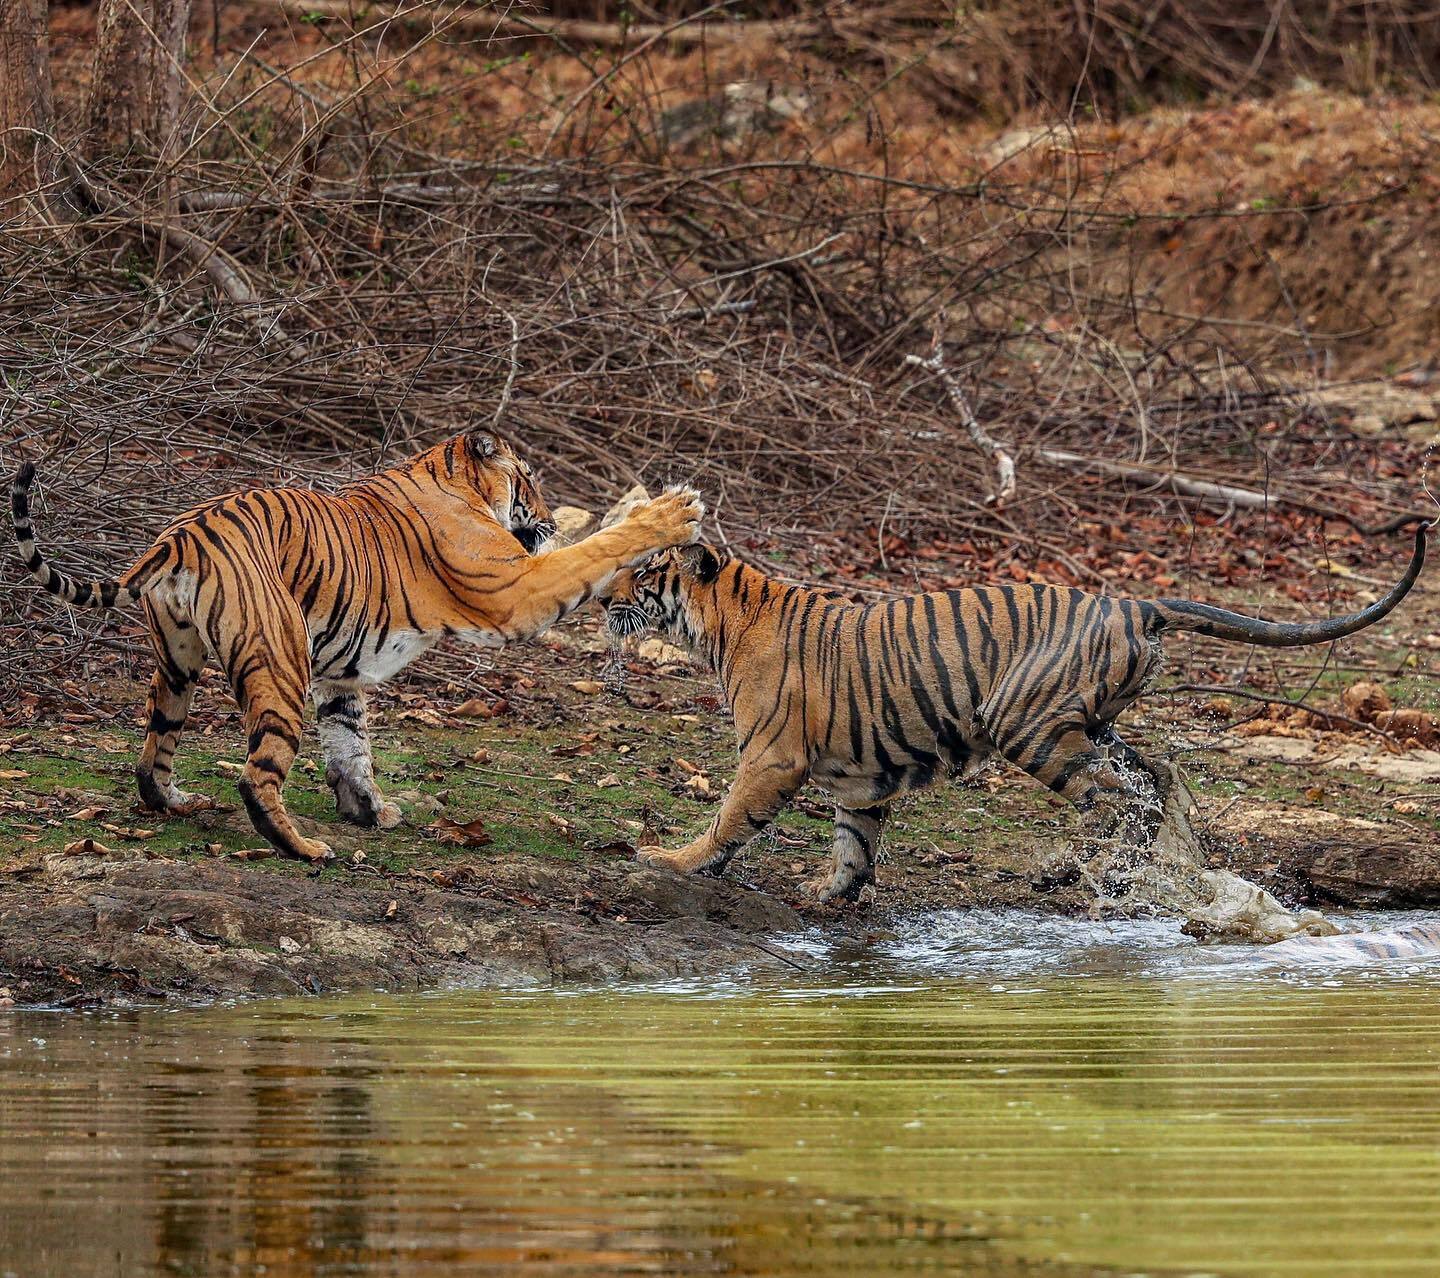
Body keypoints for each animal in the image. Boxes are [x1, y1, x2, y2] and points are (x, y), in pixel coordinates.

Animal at [9, 434, 708, 863]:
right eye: (528, 479)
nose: (549, 517)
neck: (453, 476)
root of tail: (177, 537)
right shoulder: (518, 587)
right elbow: (596, 549)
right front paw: (672, 513)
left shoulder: (339, 672)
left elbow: (350, 745)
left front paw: (370, 810)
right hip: (278, 658)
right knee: (256, 775)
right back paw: (302, 849)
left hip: (178, 665)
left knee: (153, 751)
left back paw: (177, 801)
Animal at [599, 529, 1428, 909]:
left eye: (645, 573)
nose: (603, 595)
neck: (722, 622)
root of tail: (1133, 601)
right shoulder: (863, 778)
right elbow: (853, 847)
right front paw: (829, 895)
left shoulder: (772, 756)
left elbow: (729, 819)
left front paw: (672, 861)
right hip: (1093, 724)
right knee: (1153, 779)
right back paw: (1105, 869)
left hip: (1026, 725)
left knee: (1119, 800)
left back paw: (1096, 875)